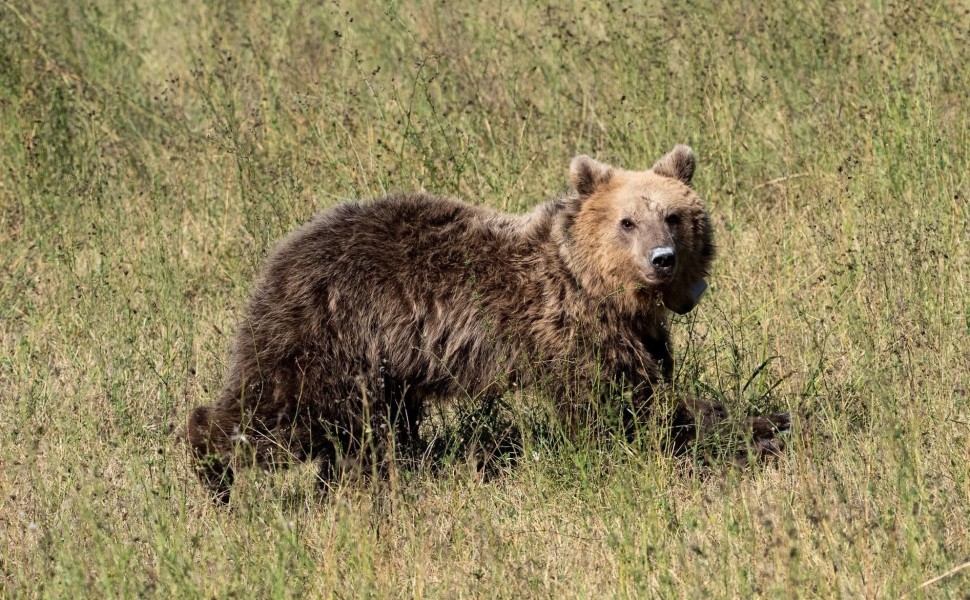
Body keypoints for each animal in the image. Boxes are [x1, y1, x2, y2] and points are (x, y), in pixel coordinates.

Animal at [187, 146, 788, 502]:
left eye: (674, 215)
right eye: (627, 221)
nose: (661, 258)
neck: (598, 288)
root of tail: (284, 252)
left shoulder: (638, 335)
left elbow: (653, 390)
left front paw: (766, 421)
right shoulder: (568, 331)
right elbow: (622, 411)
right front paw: (753, 431)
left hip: (382, 364)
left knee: (368, 433)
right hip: (330, 336)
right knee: (280, 414)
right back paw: (213, 471)